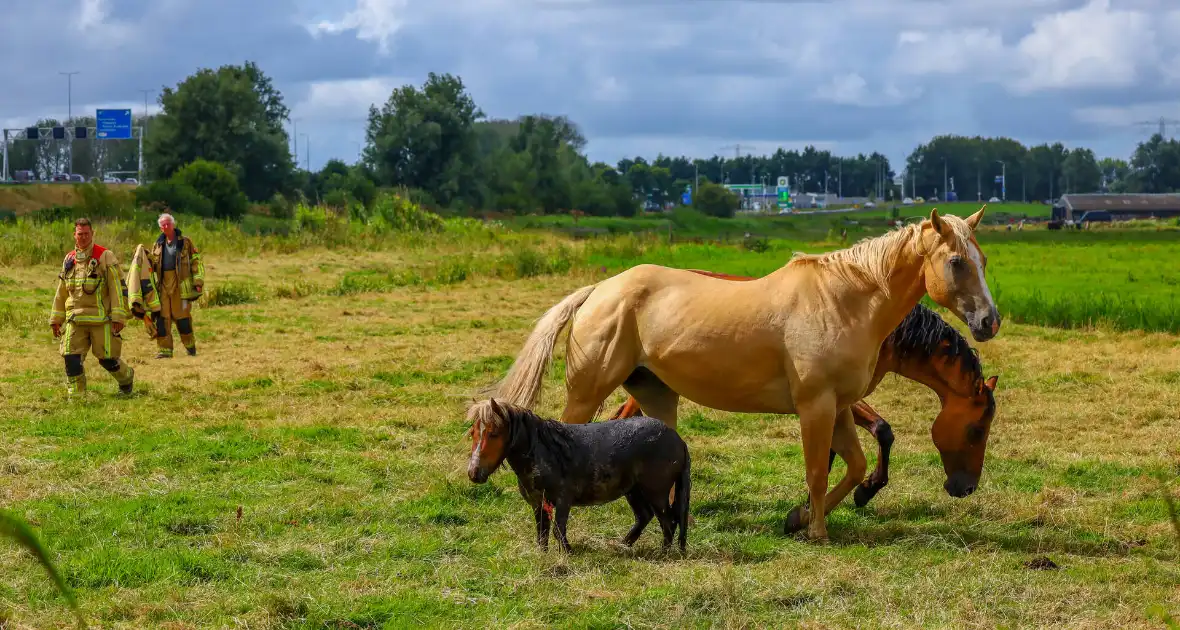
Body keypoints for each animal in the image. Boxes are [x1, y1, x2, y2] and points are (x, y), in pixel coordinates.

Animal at [466, 399, 691, 552]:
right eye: (473, 433)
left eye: (494, 433)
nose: (473, 473)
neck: (544, 450)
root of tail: (678, 439)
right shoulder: (538, 504)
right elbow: (542, 533)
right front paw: (543, 555)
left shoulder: (563, 500)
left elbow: (558, 530)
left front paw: (568, 553)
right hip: (634, 491)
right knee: (645, 516)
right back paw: (622, 545)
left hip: (656, 493)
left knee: (668, 522)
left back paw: (662, 553)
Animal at [609, 288, 999, 511]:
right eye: (977, 431)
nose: (966, 488)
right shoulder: (832, 398)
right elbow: (881, 432)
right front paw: (865, 491)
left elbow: (834, 452)